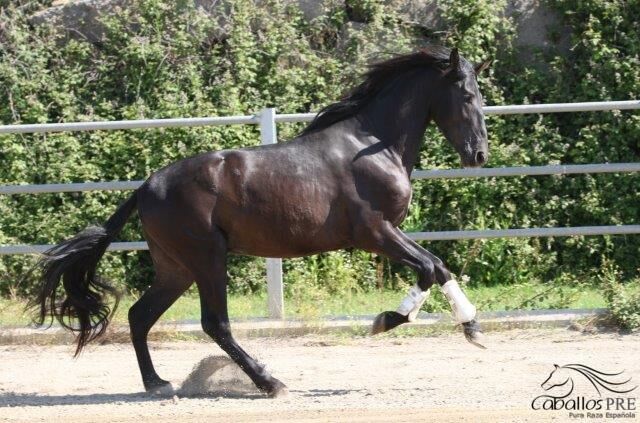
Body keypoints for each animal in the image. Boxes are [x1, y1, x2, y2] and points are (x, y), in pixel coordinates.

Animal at [31, 46, 490, 398]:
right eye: (467, 95)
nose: (479, 155)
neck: (373, 146)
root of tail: (146, 187)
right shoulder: (374, 232)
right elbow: (428, 268)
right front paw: (385, 321)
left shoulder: (389, 233)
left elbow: (438, 267)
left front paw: (473, 329)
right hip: (207, 258)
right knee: (214, 323)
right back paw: (270, 383)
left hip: (176, 267)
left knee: (139, 316)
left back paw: (157, 383)